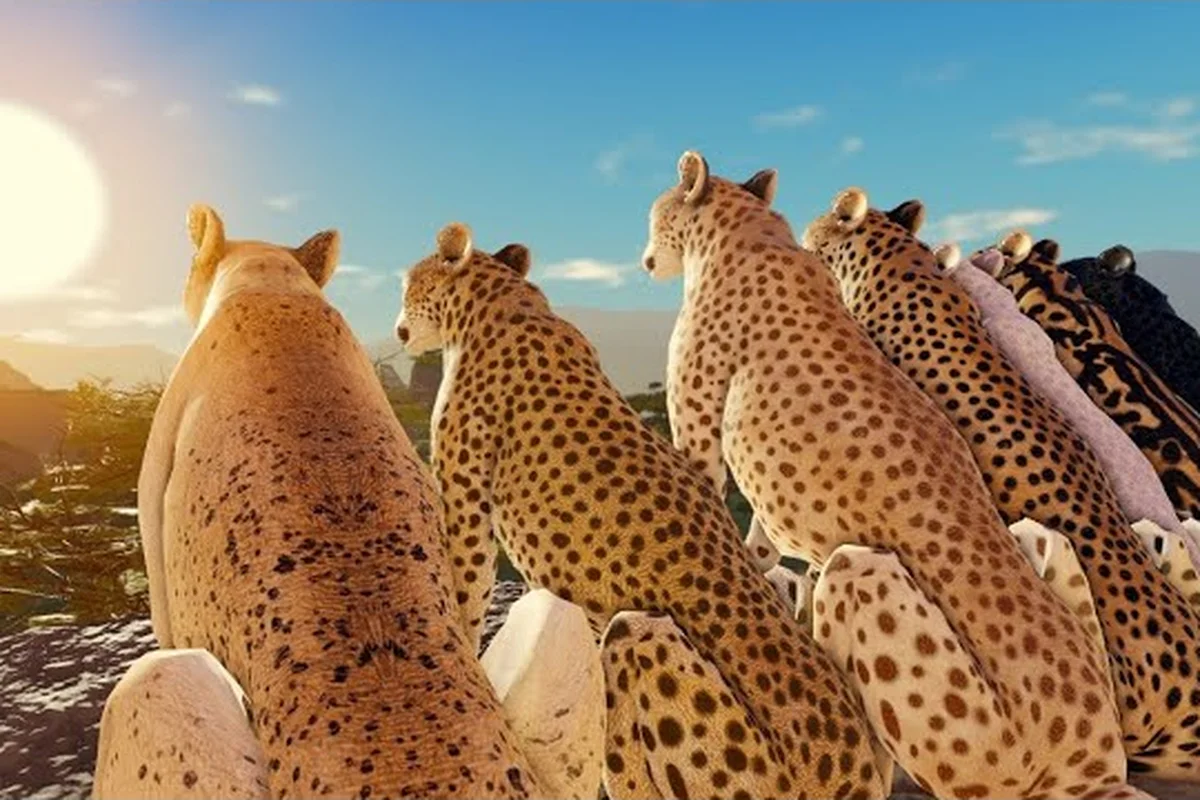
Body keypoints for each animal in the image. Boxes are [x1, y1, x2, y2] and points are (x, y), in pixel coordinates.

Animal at [393, 221, 890, 800]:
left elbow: (466, 593)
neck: (497, 300)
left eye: (410, 285)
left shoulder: (468, 504)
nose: (399, 329)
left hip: (641, 639)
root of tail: (855, 768)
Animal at [640, 151, 1135, 800]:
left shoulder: (701, 441)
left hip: (861, 575)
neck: (742, 231)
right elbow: (761, 543)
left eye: (656, 216)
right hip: (1040, 539)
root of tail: (1095, 754)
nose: (646, 261)